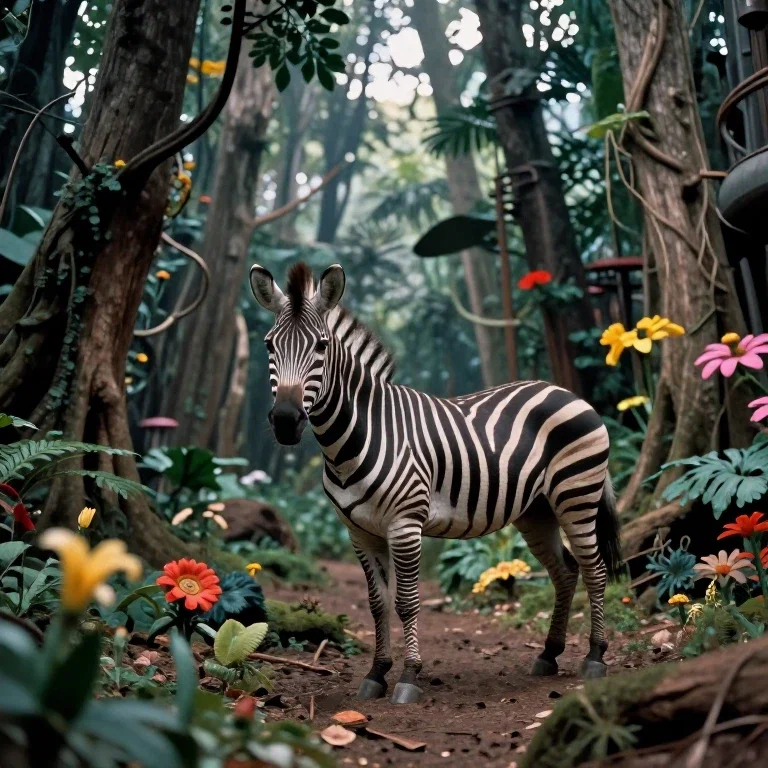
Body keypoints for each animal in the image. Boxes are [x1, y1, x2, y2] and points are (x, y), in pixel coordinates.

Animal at [250, 261, 622, 705]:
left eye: (322, 346)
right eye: (269, 346)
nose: (285, 421)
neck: (353, 439)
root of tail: (565, 392)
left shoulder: (405, 525)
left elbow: (408, 603)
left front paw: (409, 676)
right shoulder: (359, 532)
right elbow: (377, 603)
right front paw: (376, 673)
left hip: (576, 494)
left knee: (595, 569)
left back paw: (596, 656)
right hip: (536, 510)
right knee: (565, 571)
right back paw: (548, 653)